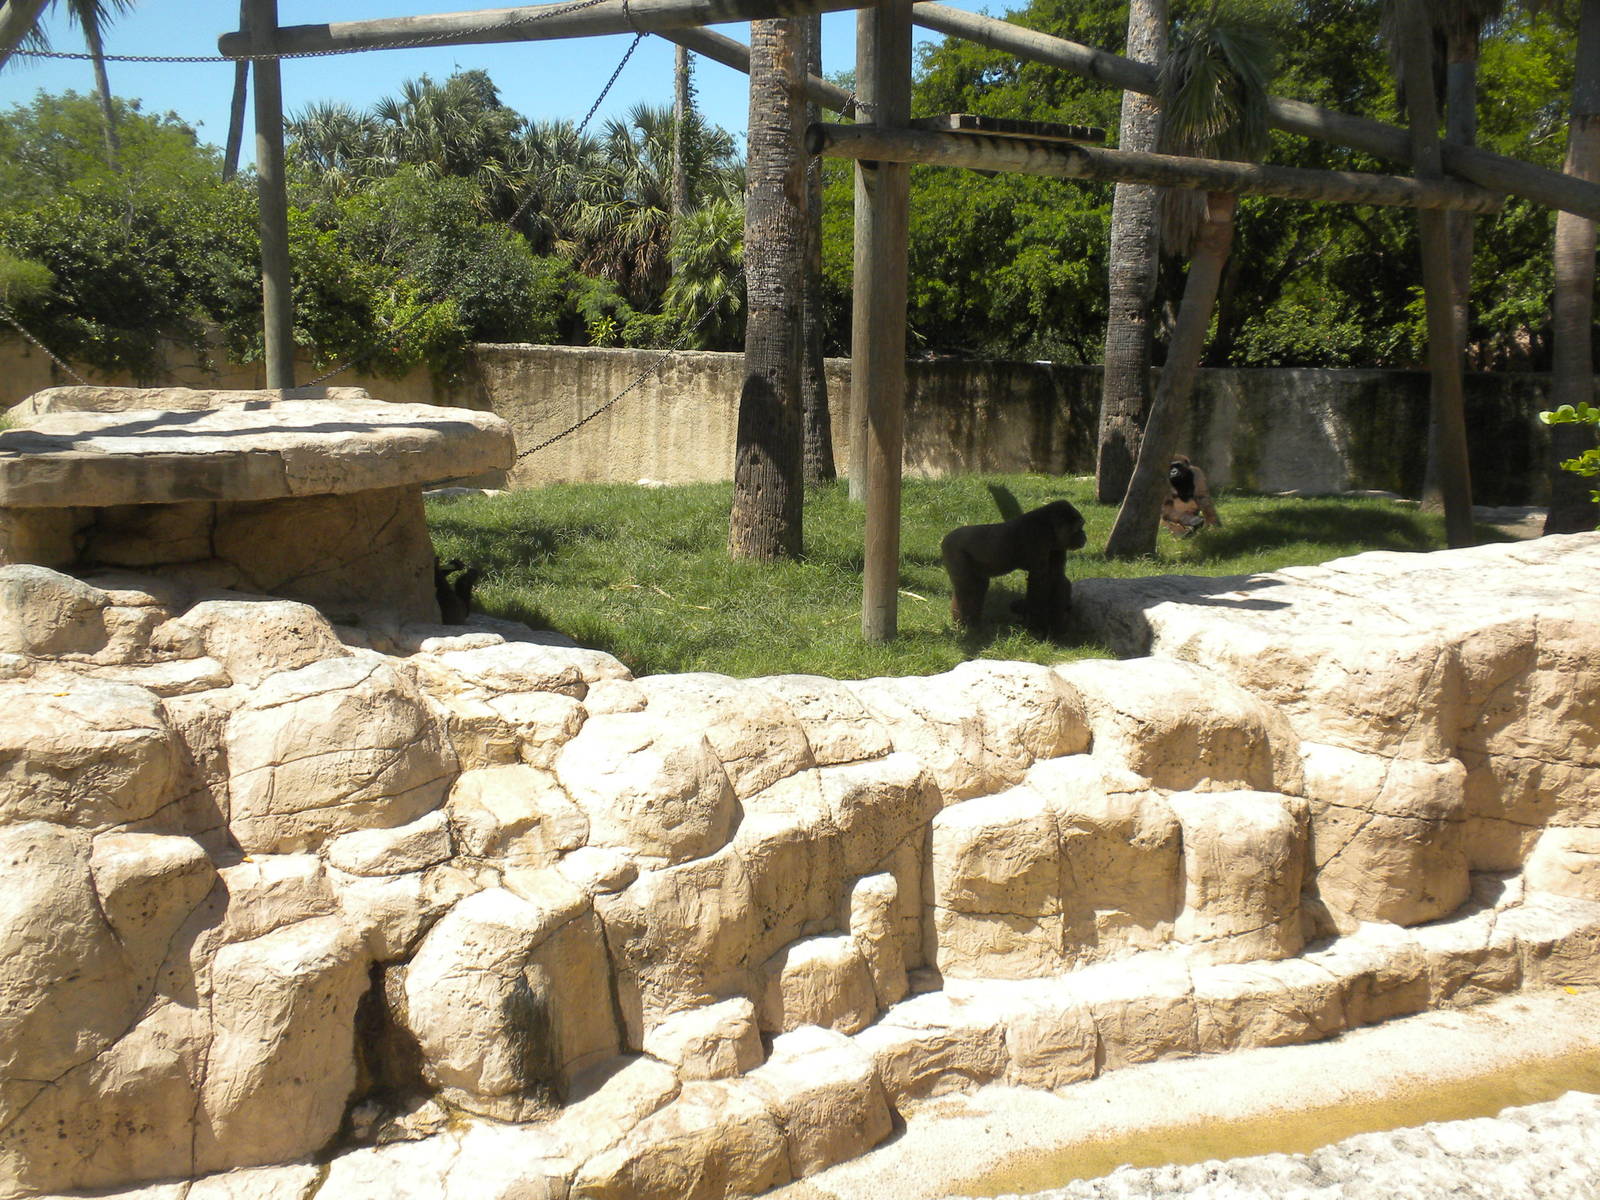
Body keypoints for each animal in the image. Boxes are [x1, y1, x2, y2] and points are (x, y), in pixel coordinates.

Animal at [940, 499, 1087, 638]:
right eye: (1078, 528)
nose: (1084, 535)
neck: (1049, 525)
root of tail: (945, 538)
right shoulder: (1038, 537)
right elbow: (1039, 583)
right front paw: (1038, 627)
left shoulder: (1058, 545)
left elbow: (1056, 577)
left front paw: (1056, 624)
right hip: (953, 549)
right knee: (968, 589)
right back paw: (966, 625)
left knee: (976, 587)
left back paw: (970, 623)